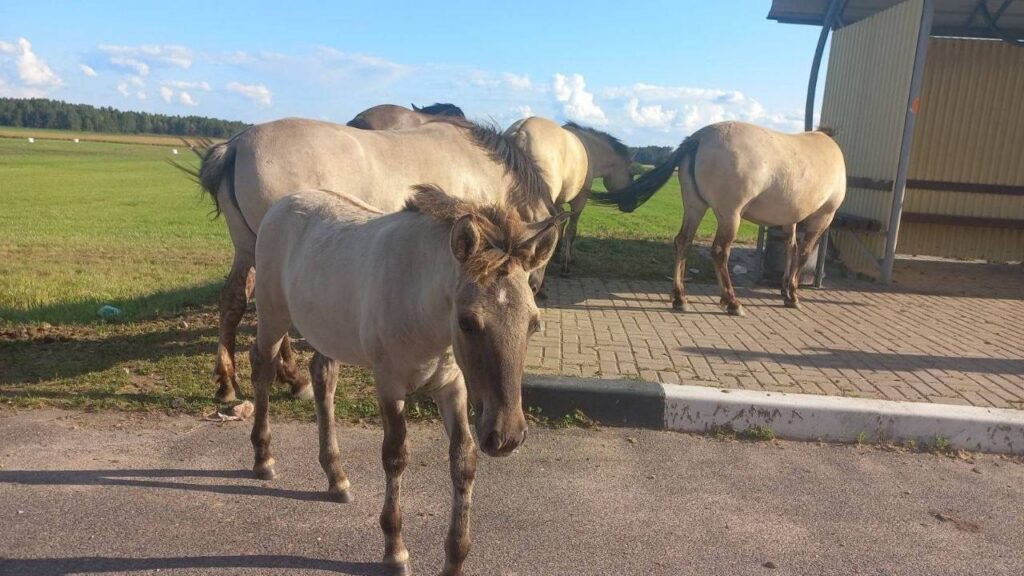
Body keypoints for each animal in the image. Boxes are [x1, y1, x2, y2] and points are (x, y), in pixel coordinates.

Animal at [197, 116, 555, 403]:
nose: (537, 287)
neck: (483, 168)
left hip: (249, 249)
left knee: (234, 300)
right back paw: (293, 379)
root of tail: (236, 145)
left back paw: (230, 383)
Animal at [250, 184, 565, 576]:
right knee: (263, 370)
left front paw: (454, 559)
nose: (506, 436)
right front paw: (395, 551)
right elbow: (395, 456)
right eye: (466, 322)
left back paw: (336, 478)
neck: (422, 305)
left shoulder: (452, 387)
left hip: (328, 331)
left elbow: (463, 457)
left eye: (534, 323)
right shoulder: (389, 385)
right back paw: (264, 459)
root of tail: (285, 202)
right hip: (272, 316)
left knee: (323, 377)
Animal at [505, 118, 634, 275]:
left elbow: (560, 224)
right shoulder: (579, 203)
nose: (631, 205)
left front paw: (557, 253)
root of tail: (521, 131)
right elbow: (571, 230)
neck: (590, 150)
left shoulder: (558, 203)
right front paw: (566, 262)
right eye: (631, 174)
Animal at [594, 121, 845, 316]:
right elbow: (803, 253)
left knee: (683, 243)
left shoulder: (789, 218)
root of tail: (699, 137)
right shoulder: (823, 216)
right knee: (719, 252)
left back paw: (680, 298)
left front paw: (785, 288)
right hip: (730, 215)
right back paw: (732, 302)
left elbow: (791, 249)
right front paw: (792, 295)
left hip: (694, 207)